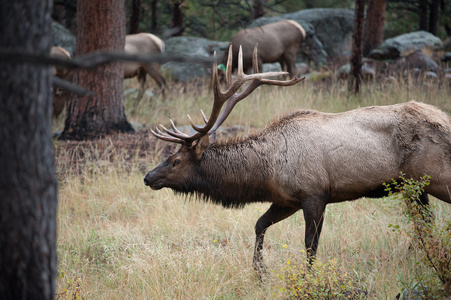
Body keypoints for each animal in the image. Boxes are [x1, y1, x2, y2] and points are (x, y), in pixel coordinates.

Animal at [144, 44, 451, 274]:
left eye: (176, 161)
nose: (147, 177)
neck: (265, 173)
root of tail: (445, 121)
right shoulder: (286, 199)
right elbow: (260, 224)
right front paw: (259, 272)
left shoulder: (314, 193)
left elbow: (309, 245)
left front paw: (307, 278)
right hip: (415, 187)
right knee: (425, 223)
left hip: (436, 177)